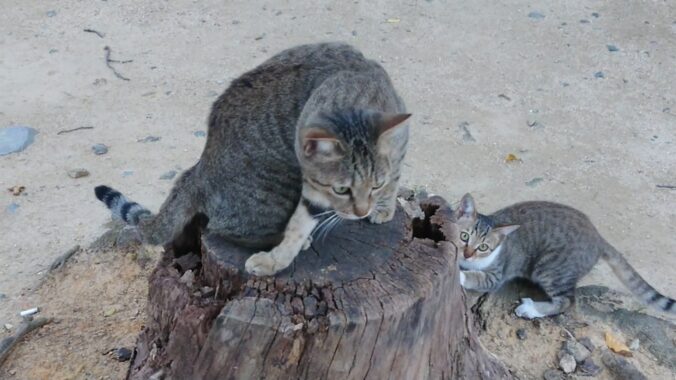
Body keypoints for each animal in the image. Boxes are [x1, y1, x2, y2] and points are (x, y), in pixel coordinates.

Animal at [94, 43, 410, 276]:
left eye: (375, 185)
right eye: (341, 189)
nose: (361, 212)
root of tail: (201, 167)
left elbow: (394, 175)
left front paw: (384, 206)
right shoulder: (310, 187)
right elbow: (297, 226)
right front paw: (277, 258)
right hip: (276, 189)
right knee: (223, 227)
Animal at [452, 193, 672, 318]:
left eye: (483, 247)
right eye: (464, 236)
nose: (467, 254)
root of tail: (598, 237)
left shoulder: (496, 274)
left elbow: (478, 277)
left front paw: (461, 274)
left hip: (550, 269)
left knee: (567, 302)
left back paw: (532, 310)